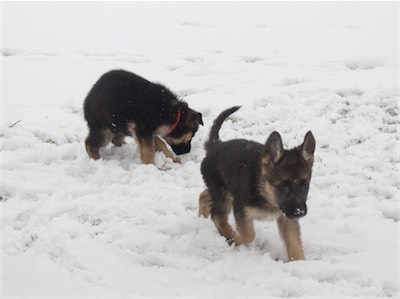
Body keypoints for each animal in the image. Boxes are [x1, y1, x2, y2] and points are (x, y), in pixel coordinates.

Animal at [200, 106, 316, 262]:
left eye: (305, 184)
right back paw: (230, 236)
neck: (265, 192)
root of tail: (215, 145)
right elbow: (248, 234)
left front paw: (299, 262)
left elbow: (294, 242)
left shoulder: (287, 217)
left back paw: (202, 216)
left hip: (223, 191)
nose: (300, 212)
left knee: (204, 195)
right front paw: (237, 240)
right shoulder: (241, 209)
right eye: (283, 185)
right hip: (223, 194)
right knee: (218, 216)